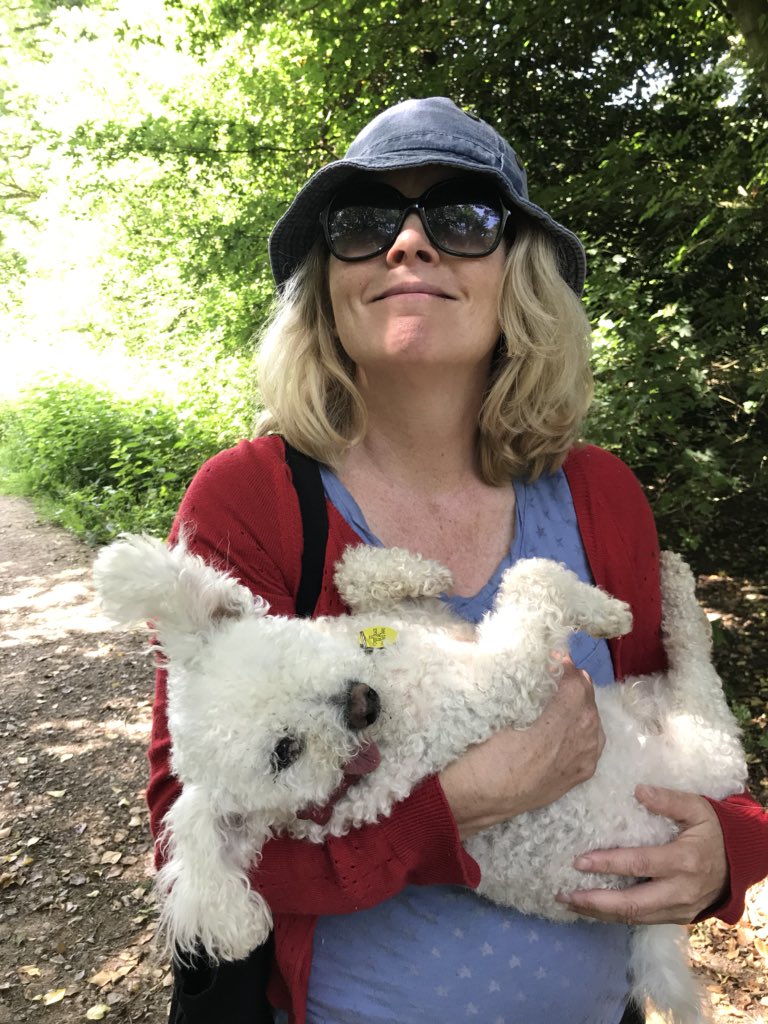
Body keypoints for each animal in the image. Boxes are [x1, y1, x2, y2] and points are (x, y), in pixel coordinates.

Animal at [93, 536, 749, 1024]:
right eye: (284, 751)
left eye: (287, 652)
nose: (361, 704)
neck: (400, 692)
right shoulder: (505, 685)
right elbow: (532, 577)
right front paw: (605, 609)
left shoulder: (440, 634)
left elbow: (360, 576)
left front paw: (416, 571)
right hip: (707, 747)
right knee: (699, 670)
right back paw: (678, 590)